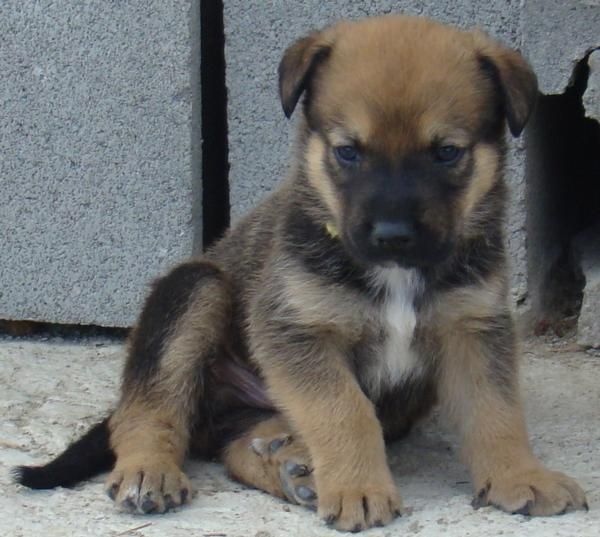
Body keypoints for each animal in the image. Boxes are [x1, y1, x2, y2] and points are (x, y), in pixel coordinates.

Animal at [15, 13, 584, 532]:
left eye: (446, 153)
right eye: (347, 152)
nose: (393, 236)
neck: (396, 276)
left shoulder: (474, 329)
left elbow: (496, 412)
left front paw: (519, 477)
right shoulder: (299, 330)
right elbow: (344, 410)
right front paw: (357, 488)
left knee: (233, 444)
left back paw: (288, 462)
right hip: (194, 290)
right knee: (149, 409)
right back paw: (150, 471)